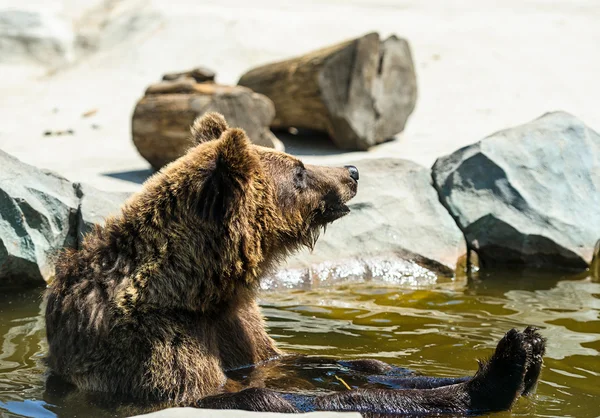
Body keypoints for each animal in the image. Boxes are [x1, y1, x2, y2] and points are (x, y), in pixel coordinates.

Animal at [44, 112, 548, 416]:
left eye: (297, 159)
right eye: (301, 172)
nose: (352, 172)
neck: (197, 288)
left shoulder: (237, 324)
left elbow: (300, 361)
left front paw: (522, 350)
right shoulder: (154, 347)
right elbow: (276, 397)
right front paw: (493, 376)